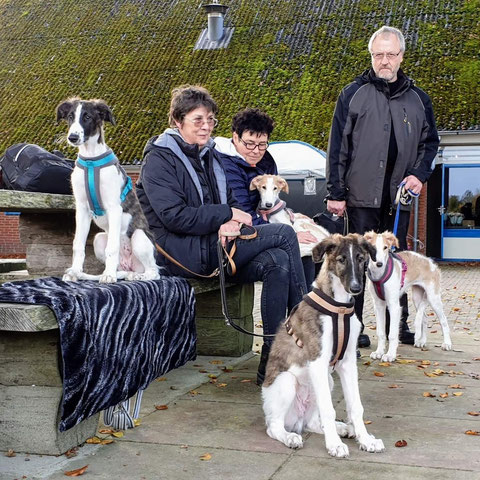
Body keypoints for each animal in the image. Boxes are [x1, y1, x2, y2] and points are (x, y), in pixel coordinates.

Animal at [55, 98, 158, 284]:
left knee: (154, 271)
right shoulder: (81, 208)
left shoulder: (114, 208)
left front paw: (108, 276)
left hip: (139, 236)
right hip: (99, 240)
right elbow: (78, 244)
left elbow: (113, 247)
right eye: (70, 116)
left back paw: (134, 275)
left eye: (87, 117)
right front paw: (75, 272)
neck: (90, 159)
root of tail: (129, 266)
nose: (72, 137)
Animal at [260, 234, 384, 460]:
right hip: (286, 382)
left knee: (313, 423)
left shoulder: (348, 362)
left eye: (361, 259)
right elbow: (328, 409)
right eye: (341, 259)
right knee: (274, 426)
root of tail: (297, 421)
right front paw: (334, 445)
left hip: (326, 382)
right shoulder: (318, 360)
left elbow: (356, 406)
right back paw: (290, 437)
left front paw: (366, 440)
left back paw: (343, 428)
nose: (356, 288)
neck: (339, 308)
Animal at [366, 231, 452, 362]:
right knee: (425, 318)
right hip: (417, 297)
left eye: (385, 247)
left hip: (433, 297)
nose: (379, 264)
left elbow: (392, 334)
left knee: (443, 320)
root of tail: (431, 263)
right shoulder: (379, 305)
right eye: (373, 248)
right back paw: (422, 341)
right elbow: (380, 333)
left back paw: (447, 343)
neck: (380, 274)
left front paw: (390, 355)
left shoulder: (394, 306)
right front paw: (379, 352)